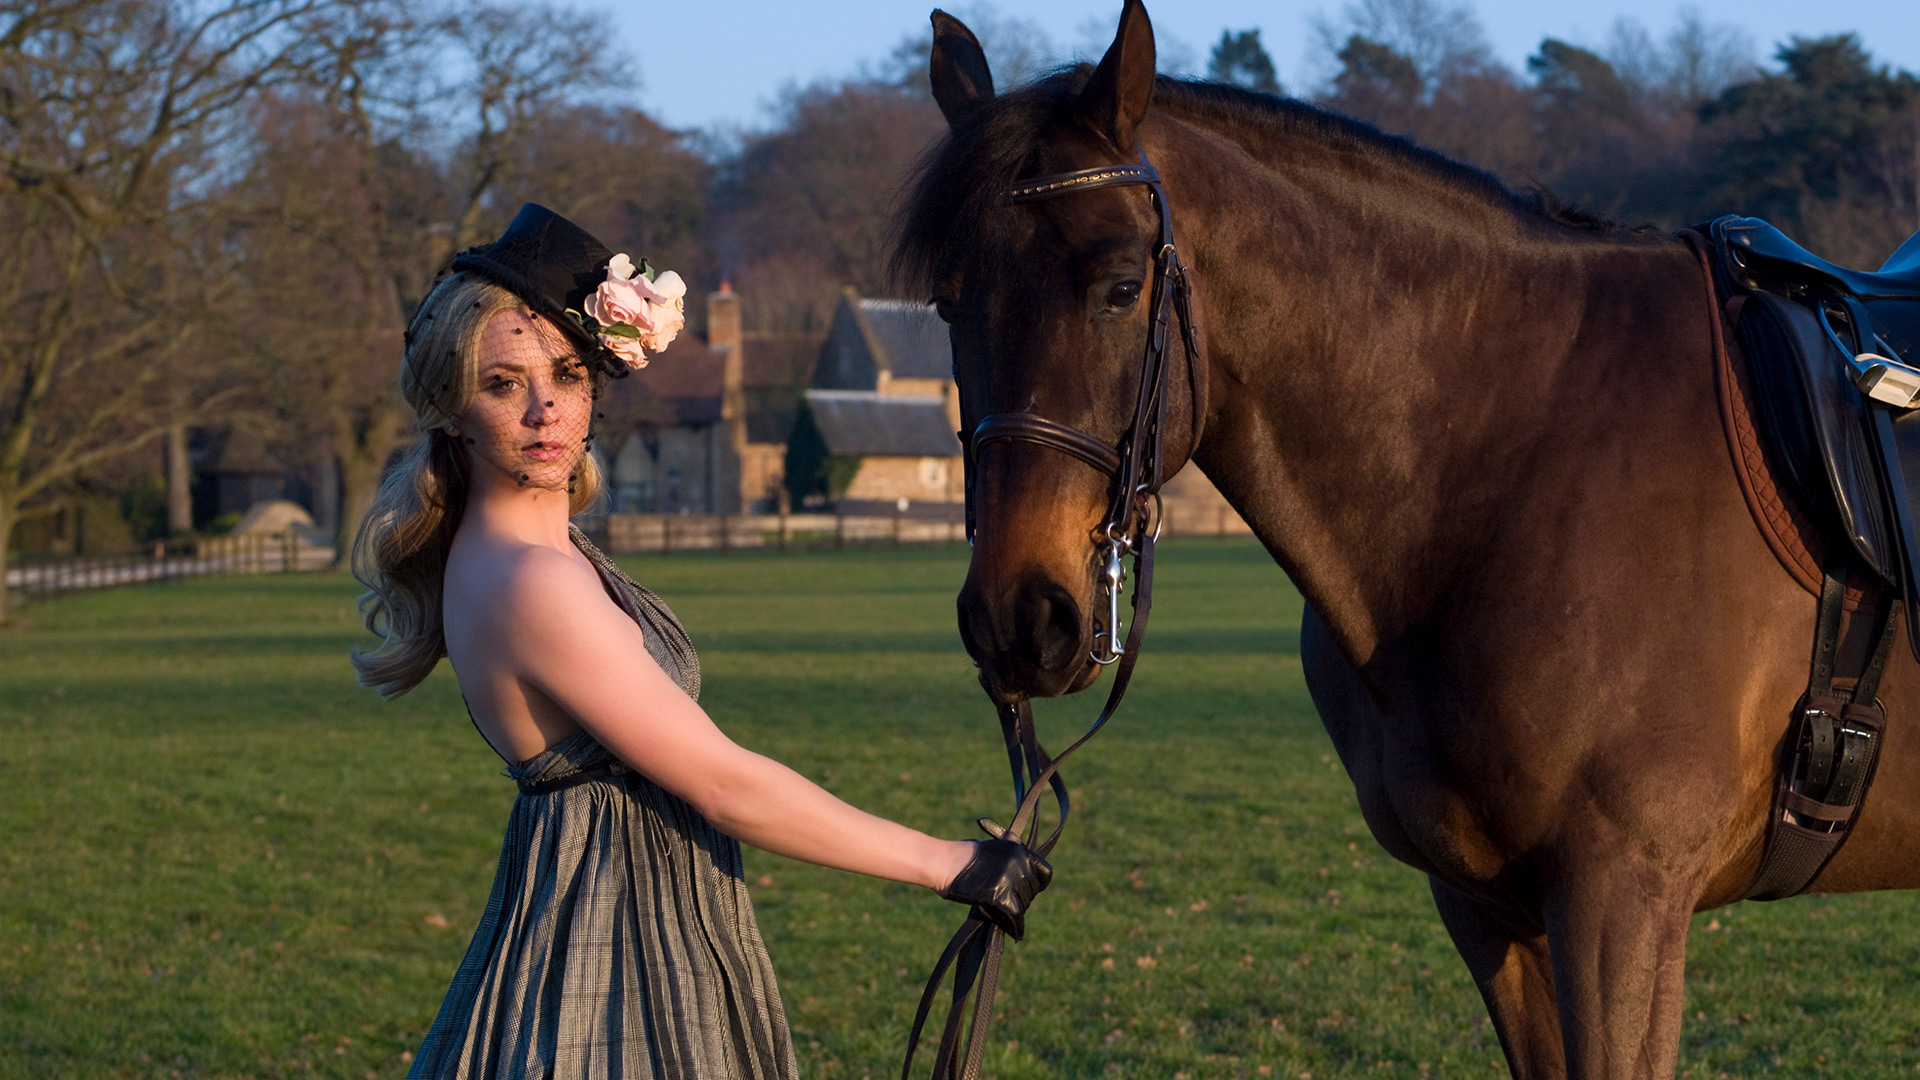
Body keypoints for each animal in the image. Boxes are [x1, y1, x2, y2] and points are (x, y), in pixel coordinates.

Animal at [906, 4, 1920, 1068]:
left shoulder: (1625, 900)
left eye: (1116, 285)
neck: (1514, 450)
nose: (1019, 617)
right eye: (949, 301)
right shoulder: (1487, 907)